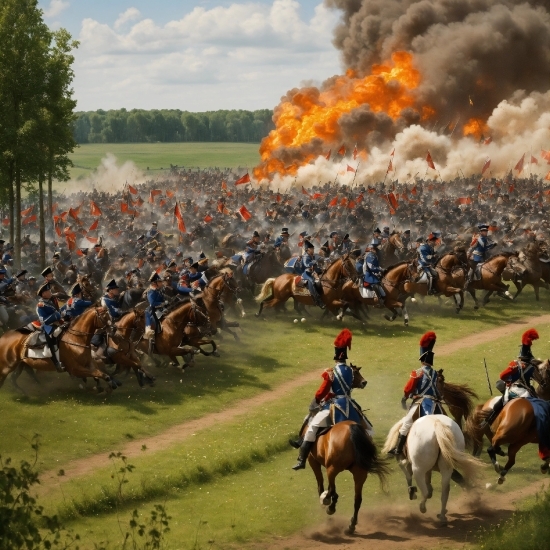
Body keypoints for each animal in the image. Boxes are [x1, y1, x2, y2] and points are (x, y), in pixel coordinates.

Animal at [304, 366, 390, 536]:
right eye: (356, 372)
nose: (364, 382)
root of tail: (351, 429)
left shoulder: (313, 460)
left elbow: (321, 485)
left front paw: (325, 500)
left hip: (332, 469)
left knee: (334, 491)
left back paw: (330, 506)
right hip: (360, 473)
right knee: (357, 500)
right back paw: (351, 525)